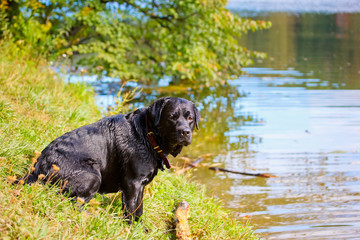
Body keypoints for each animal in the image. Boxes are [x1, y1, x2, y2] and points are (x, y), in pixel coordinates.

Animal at [20, 97, 200, 223]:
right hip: (92, 177)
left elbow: (139, 209)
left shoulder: (140, 186)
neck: (148, 136)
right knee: (72, 203)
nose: (185, 132)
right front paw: (131, 230)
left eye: (190, 118)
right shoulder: (133, 183)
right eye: (172, 117)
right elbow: (131, 211)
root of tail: (37, 169)